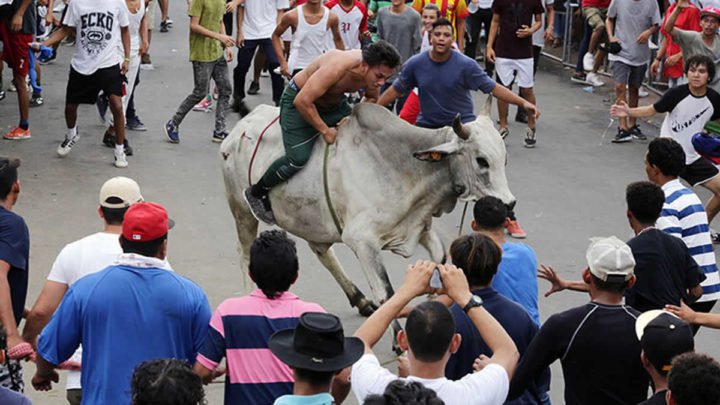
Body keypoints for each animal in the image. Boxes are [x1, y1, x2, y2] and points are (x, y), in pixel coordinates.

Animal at [219, 99, 512, 314]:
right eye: (481, 160)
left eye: (504, 158)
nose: (509, 205)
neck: (405, 166)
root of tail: (241, 126)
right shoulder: (361, 240)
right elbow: (386, 295)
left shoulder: (420, 226)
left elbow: (439, 259)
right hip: (242, 211)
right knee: (245, 252)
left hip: (311, 219)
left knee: (322, 252)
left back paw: (358, 299)